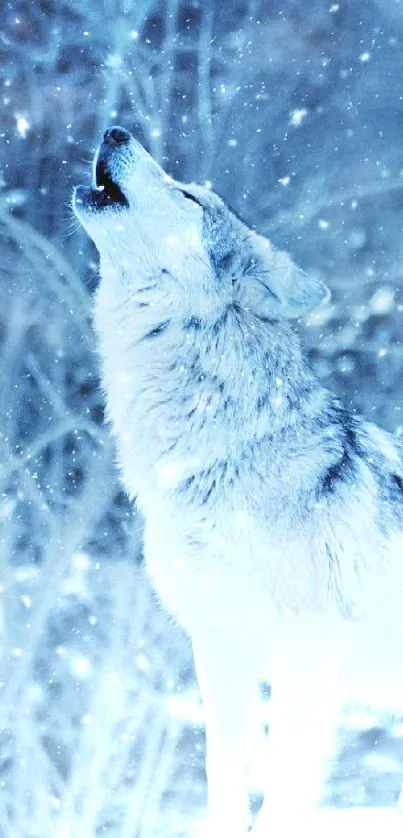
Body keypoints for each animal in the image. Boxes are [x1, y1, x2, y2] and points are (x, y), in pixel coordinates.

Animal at [73, 126, 403, 837]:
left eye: (189, 197)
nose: (115, 130)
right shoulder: (219, 649)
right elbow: (223, 777)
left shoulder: (306, 661)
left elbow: (282, 792)